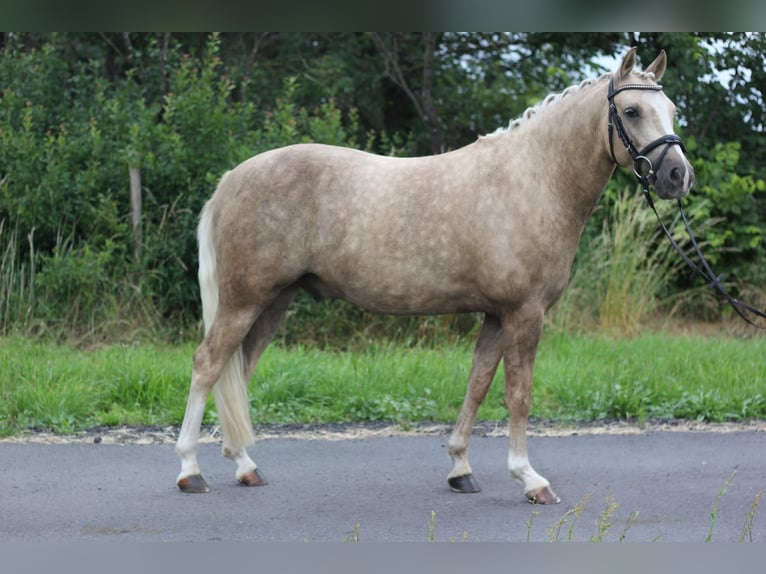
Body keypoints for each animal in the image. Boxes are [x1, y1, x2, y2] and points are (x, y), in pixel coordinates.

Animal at [176, 48, 696, 504]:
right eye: (631, 110)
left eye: (671, 110)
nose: (678, 176)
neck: (532, 181)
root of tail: (231, 180)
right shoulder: (524, 314)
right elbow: (519, 396)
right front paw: (529, 478)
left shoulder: (496, 315)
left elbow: (478, 384)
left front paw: (460, 468)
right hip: (244, 300)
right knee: (207, 365)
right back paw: (190, 471)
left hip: (273, 302)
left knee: (237, 371)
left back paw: (244, 465)